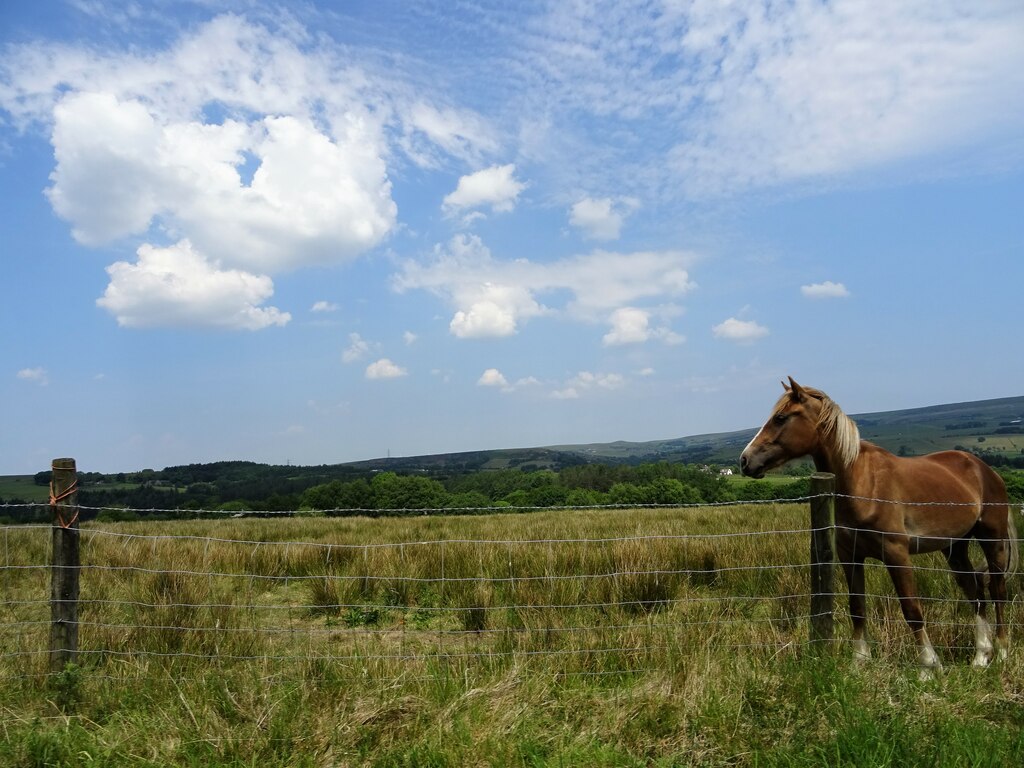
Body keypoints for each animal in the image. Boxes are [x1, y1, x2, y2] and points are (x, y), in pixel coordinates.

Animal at [737, 382, 1015, 675]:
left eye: (780, 418)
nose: (745, 460)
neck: (863, 484)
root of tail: (986, 470)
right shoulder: (850, 556)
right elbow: (857, 607)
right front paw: (859, 661)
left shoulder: (896, 555)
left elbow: (912, 609)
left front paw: (928, 666)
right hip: (955, 548)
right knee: (975, 592)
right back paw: (981, 656)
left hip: (992, 540)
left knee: (997, 592)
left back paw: (1002, 653)